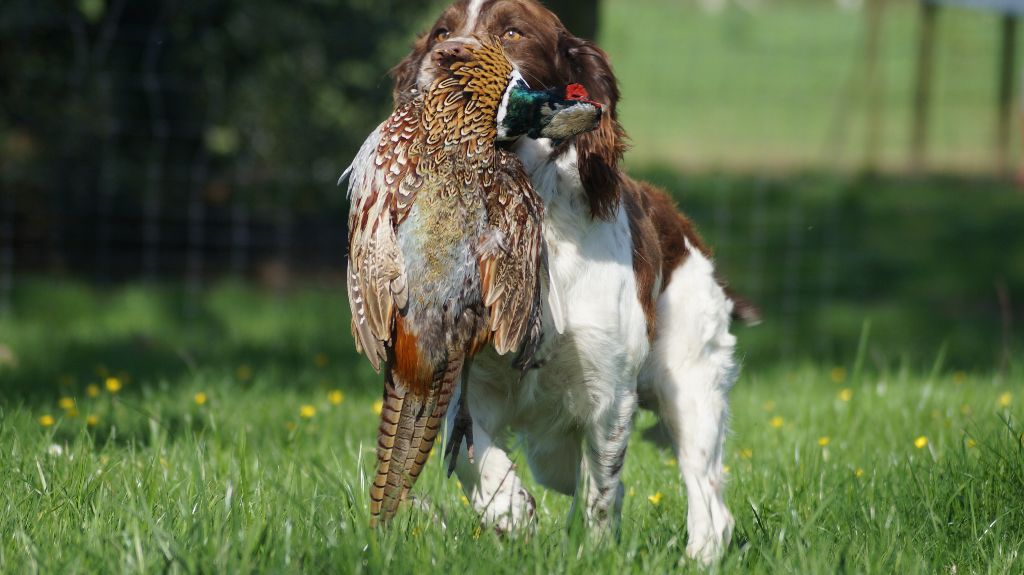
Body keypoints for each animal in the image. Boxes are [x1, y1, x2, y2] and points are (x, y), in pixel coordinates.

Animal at [387, 0, 757, 560]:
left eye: (513, 33)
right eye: (441, 31)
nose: (450, 55)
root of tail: (680, 223)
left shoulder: (608, 388)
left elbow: (602, 491)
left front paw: (593, 550)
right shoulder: (469, 378)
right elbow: (476, 457)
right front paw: (509, 511)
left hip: (690, 385)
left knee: (708, 499)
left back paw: (699, 555)